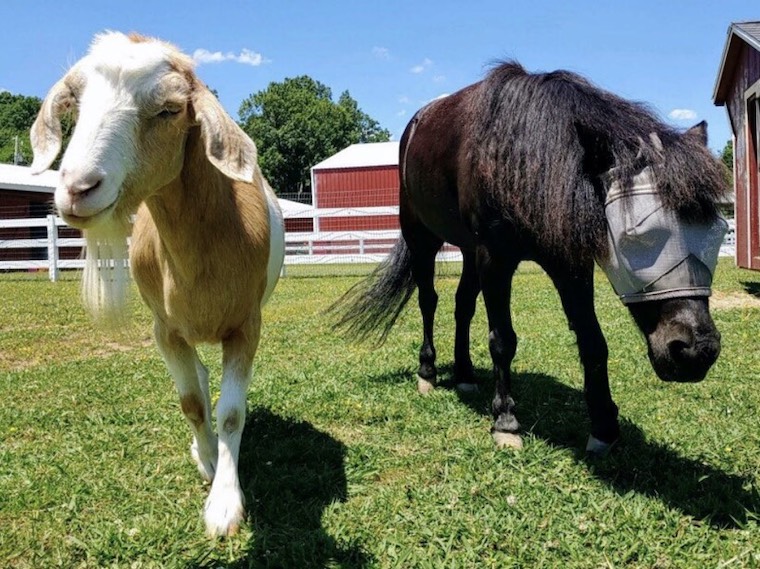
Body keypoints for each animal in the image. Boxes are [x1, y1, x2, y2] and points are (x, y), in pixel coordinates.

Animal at [30, 31, 285, 537]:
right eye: (76, 103)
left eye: (169, 109)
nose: (77, 188)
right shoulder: (163, 330)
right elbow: (192, 403)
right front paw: (208, 463)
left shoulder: (246, 325)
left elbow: (231, 413)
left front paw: (224, 506)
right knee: (199, 381)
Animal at [332, 61, 728, 453]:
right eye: (639, 235)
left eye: (717, 233)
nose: (696, 351)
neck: (525, 159)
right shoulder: (495, 260)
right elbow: (502, 340)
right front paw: (505, 421)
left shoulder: (568, 262)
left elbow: (593, 341)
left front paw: (603, 427)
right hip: (422, 239)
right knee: (429, 301)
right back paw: (428, 372)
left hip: (467, 249)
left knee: (463, 304)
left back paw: (464, 374)